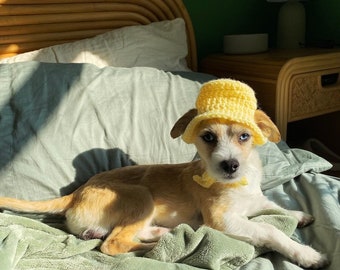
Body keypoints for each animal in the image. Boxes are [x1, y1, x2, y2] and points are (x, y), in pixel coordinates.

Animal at [0, 78, 330, 268]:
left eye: (244, 136)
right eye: (208, 137)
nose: (229, 165)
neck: (241, 183)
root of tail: (75, 193)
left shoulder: (255, 200)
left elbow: (274, 206)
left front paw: (299, 214)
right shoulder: (222, 221)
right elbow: (271, 229)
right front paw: (307, 254)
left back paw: (160, 234)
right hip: (139, 196)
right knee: (113, 244)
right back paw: (161, 246)